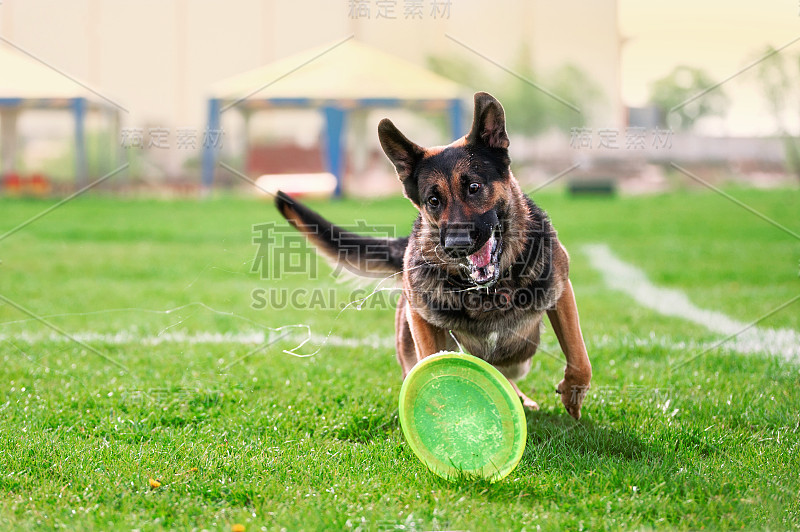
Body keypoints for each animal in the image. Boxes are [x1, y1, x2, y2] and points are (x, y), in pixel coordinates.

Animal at [278, 92, 592, 420]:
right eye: (433, 200)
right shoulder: (420, 314)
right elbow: (430, 361)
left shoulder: (562, 292)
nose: (456, 244)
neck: (488, 291)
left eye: (474, 187)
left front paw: (573, 395)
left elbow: (579, 355)